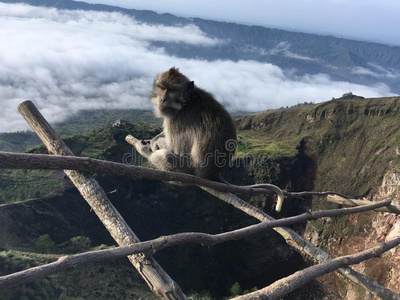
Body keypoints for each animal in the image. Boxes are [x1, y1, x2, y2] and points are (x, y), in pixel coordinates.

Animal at [126, 67, 286, 212]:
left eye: (171, 90)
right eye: (162, 87)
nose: (162, 99)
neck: (187, 101)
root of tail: (213, 174)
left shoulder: (177, 120)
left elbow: (176, 150)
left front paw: (150, 145)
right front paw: (153, 138)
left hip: (188, 172)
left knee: (166, 157)